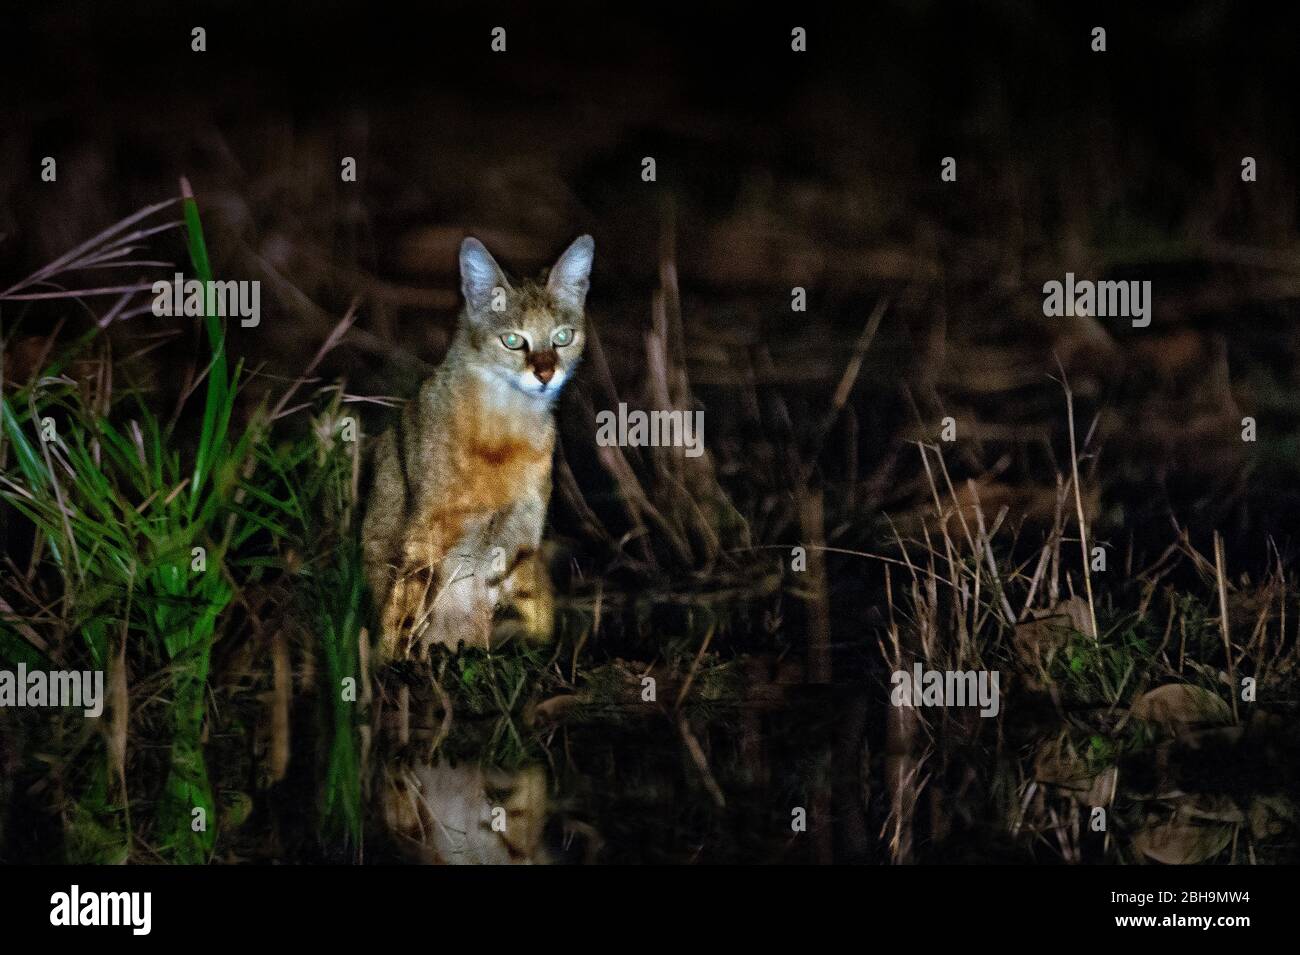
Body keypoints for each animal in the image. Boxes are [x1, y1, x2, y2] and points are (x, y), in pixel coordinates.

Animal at [361, 235, 595, 660]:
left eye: (563, 337)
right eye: (513, 340)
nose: (545, 373)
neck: (503, 440)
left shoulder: (520, 540)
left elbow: (519, 612)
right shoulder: (424, 538)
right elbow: (403, 617)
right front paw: (398, 665)